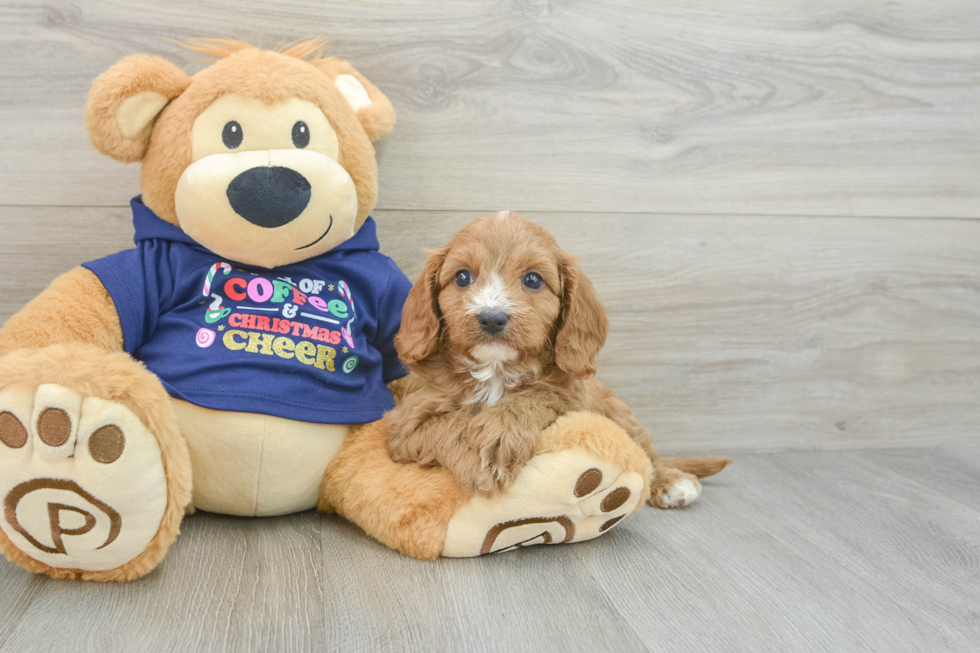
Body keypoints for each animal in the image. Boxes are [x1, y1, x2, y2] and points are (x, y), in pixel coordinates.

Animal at [382, 211, 728, 506]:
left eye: (533, 280)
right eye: (463, 277)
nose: (492, 318)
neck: (495, 370)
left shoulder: (574, 397)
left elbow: (541, 393)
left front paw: (499, 435)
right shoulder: (406, 423)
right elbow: (448, 424)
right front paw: (478, 457)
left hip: (616, 411)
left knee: (645, 450)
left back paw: (672, 482)